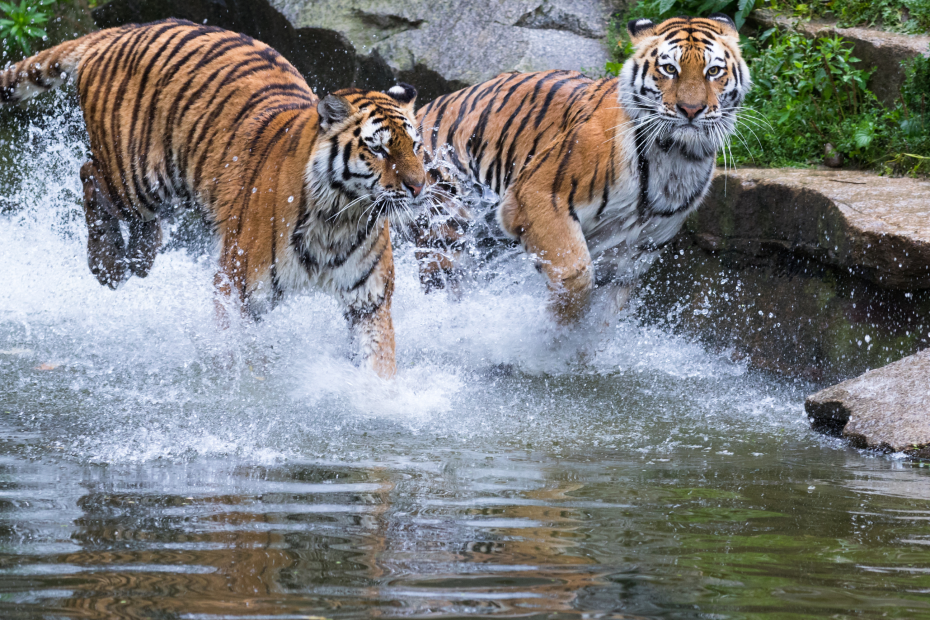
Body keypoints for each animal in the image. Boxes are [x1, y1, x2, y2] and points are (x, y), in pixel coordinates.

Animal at [0, 18, 426, 378]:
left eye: (416, 146)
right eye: (379, 150)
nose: (419, 187)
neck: (340, 217)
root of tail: (123, 30)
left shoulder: (369, 301)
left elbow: (378, 361)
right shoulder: (237, 285)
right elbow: (234, 345)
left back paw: (139, 258)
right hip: (133, 177)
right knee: (89, 174)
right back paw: (108, 264)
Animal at [416, 15, 752, 324]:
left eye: (713, 71)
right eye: (670, 69)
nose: (691, 110)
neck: (676, 158)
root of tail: (425, 109)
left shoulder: (632, 256)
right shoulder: (536, 196)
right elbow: (575, 275)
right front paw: (549, 332)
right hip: (446, 223)